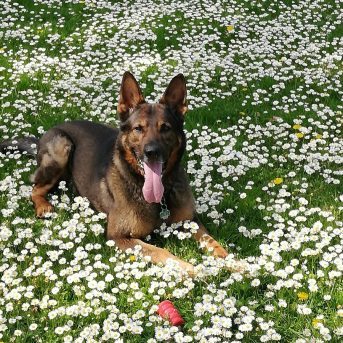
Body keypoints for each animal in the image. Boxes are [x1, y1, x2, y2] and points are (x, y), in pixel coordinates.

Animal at [0, 73, 234, 276]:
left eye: (165, 128)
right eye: (138, 129)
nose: (152, 152)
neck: (159, 197)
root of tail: (42, 137)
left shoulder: (191, 221)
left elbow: (213, 242)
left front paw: (234, 263)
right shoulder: (118, 237)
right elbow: (160, 251)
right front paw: (188, 268)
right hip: (61, 148)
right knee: (35, 188)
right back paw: (43, 206)